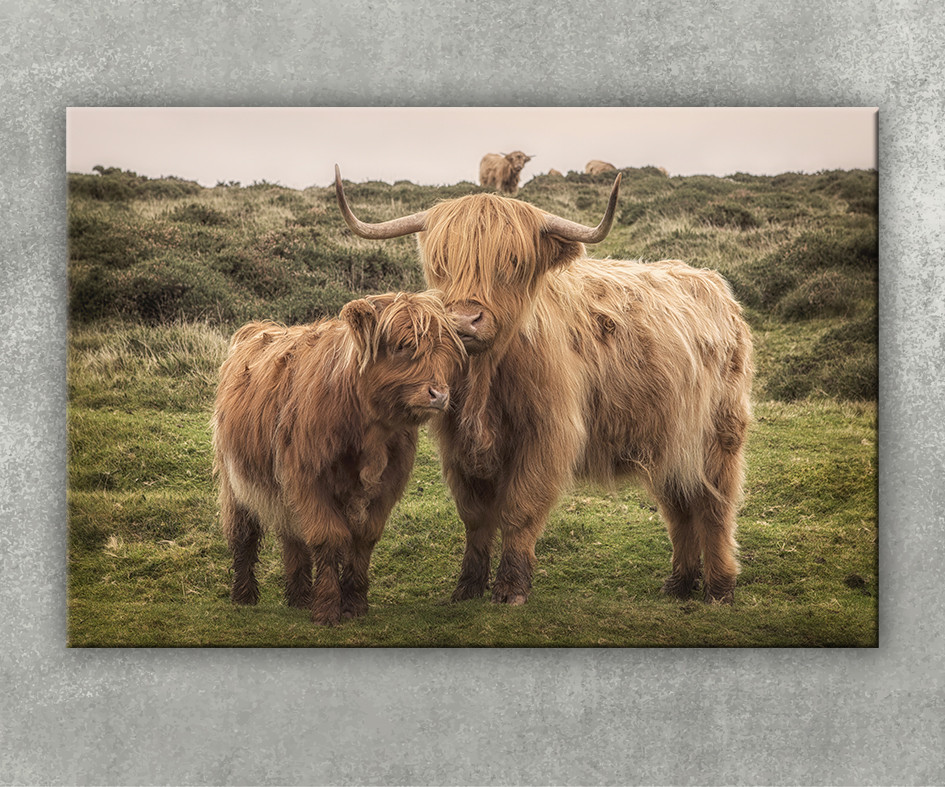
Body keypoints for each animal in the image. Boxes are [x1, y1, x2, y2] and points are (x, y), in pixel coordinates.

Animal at [212, 292, 466, 624]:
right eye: (402, 345)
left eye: (445, 349)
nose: (440, 394)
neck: (370, 432)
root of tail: (257, 328)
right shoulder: (309, 479)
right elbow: (329, 537)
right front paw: (328, 609)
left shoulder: (386, 487)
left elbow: (363, 540)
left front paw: (354, 605)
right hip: (235, 480)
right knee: (244, 532)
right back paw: (243, 596)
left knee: (292, 536)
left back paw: (299, 598)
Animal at [336, 168, 756, 608]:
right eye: (441, 261)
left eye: (512, 262)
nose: (464, 320)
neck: (486, 380)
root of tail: (717, 286)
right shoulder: (456, 444)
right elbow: (475, 517)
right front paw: (467, 586)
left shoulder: (546, 435)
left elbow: (519, 509)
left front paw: (511, 588)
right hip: (669, 439)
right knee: (680, 506)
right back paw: (680, 583)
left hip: (719, 434)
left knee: (716, 506)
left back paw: (719, 588)